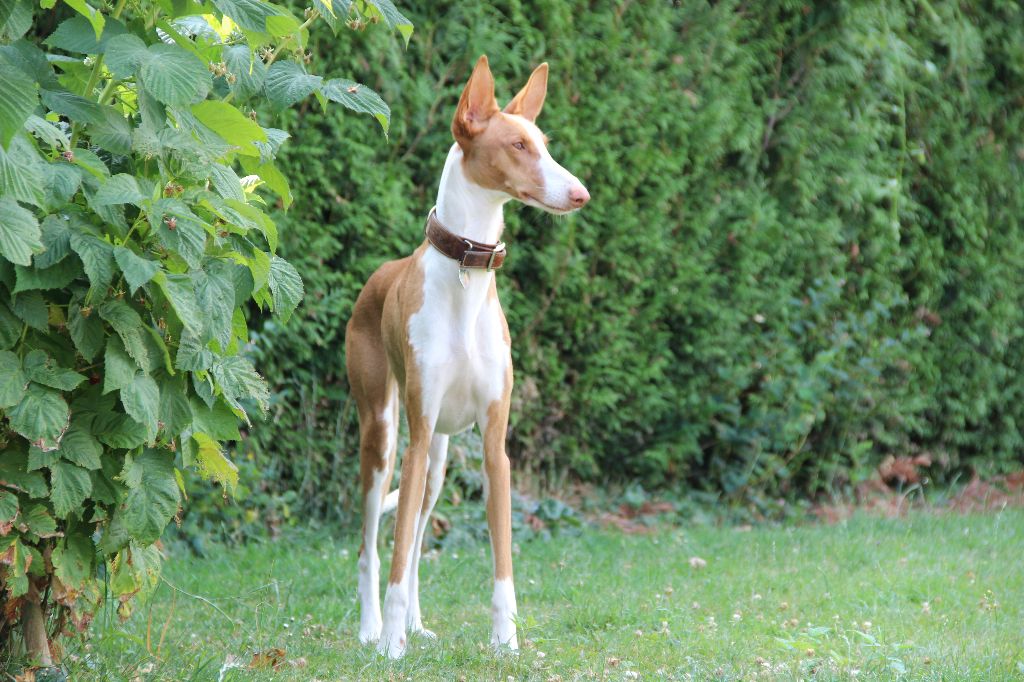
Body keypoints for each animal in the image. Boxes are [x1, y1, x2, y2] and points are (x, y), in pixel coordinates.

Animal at [344, 55, 589, 655]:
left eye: (544, 144)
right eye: (518, 145)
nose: (581, 194)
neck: (467, 273)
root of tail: (379, 276)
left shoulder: (495, 448)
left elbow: (501, 565)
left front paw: (506, 642)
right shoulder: (416, 435)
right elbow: (392, 554)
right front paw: (391, 648)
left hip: (437, 462)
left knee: (413, 549)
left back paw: (415, 624)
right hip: (385, 439)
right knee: (371, 546)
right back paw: (373, 629)